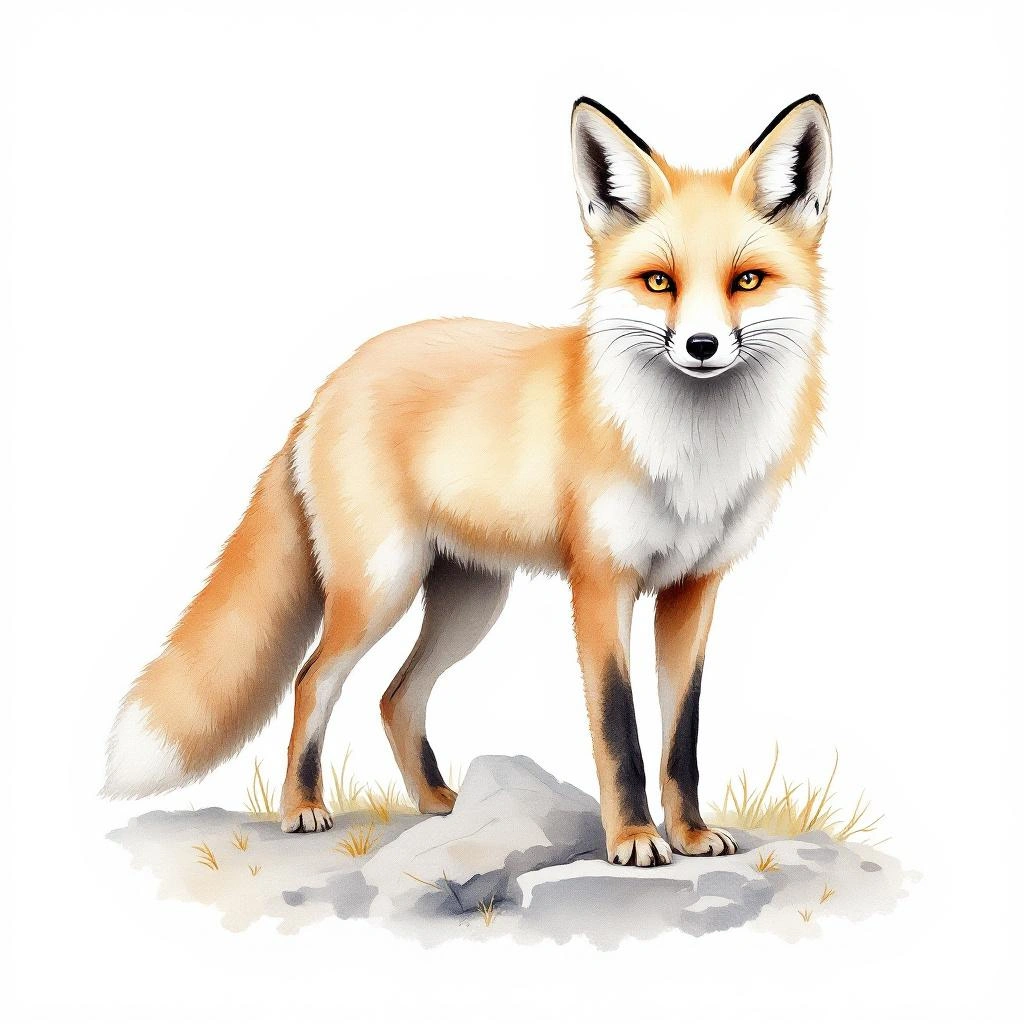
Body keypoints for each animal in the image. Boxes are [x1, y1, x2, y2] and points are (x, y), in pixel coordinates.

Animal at [104, 94, 832, 867]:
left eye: (746, 280)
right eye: (659, 281)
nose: (700, 346)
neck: (692, 457)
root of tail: (330, 385)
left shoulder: (694, 588)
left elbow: (681, 735)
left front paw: (689, 834)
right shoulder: (601, 582)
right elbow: (618, 729)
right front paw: (634, 837)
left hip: (470, 603)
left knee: (396, 696)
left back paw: (437, 804)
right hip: (381, 588)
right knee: (311, 680)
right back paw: (303, 808)